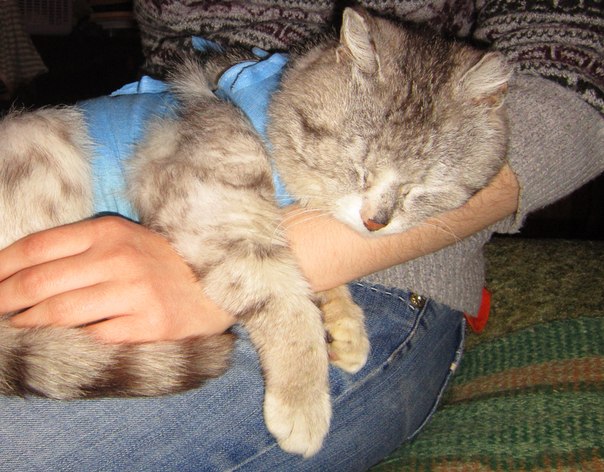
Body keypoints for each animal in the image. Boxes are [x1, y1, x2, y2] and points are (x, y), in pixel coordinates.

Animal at [0, 7, 510, 457]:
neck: (268, 107)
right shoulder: (213, 207)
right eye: (358, 166)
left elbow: (307, 275)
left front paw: (345, 323)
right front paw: (303, 399)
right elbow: (284, 300)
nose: (376, 222)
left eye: (421, 186)